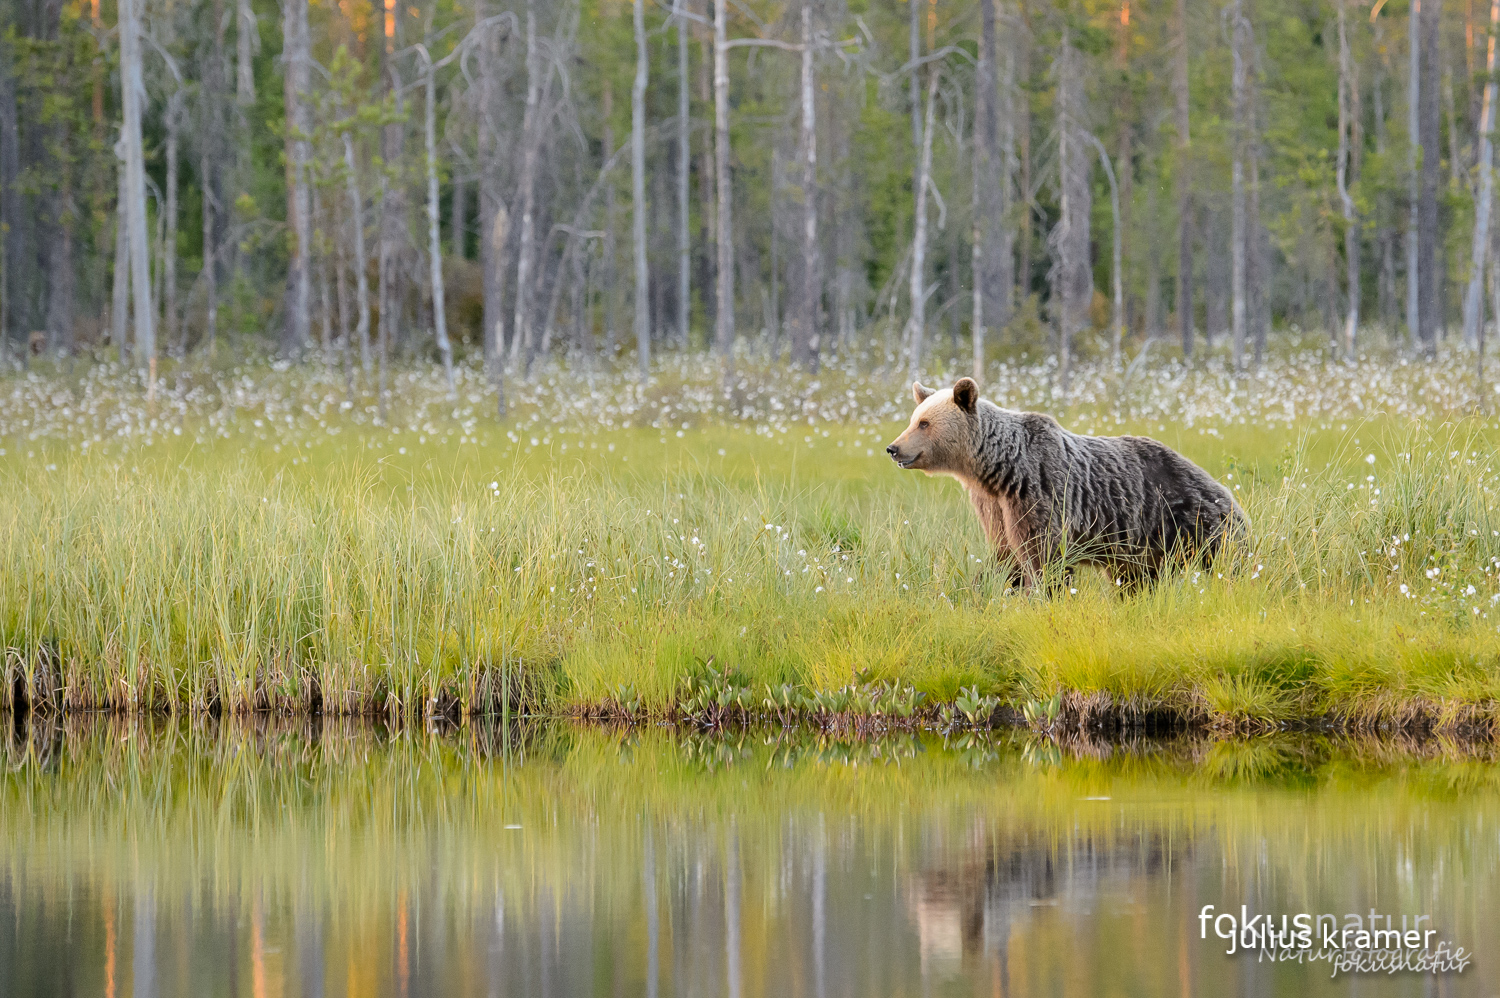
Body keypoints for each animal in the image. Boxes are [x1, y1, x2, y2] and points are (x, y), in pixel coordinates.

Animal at [882, 378, 1248, 588]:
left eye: (925, 423)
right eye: (913, 419)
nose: (893, 448)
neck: (997, 470)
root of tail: (1227, 494)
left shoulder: (1039, 492)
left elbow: (1043, 556)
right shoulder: (994, 506)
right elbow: (1006, 555)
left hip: (1194, 523)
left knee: (1229, 563)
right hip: (1142, 548)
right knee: (1135, 580)